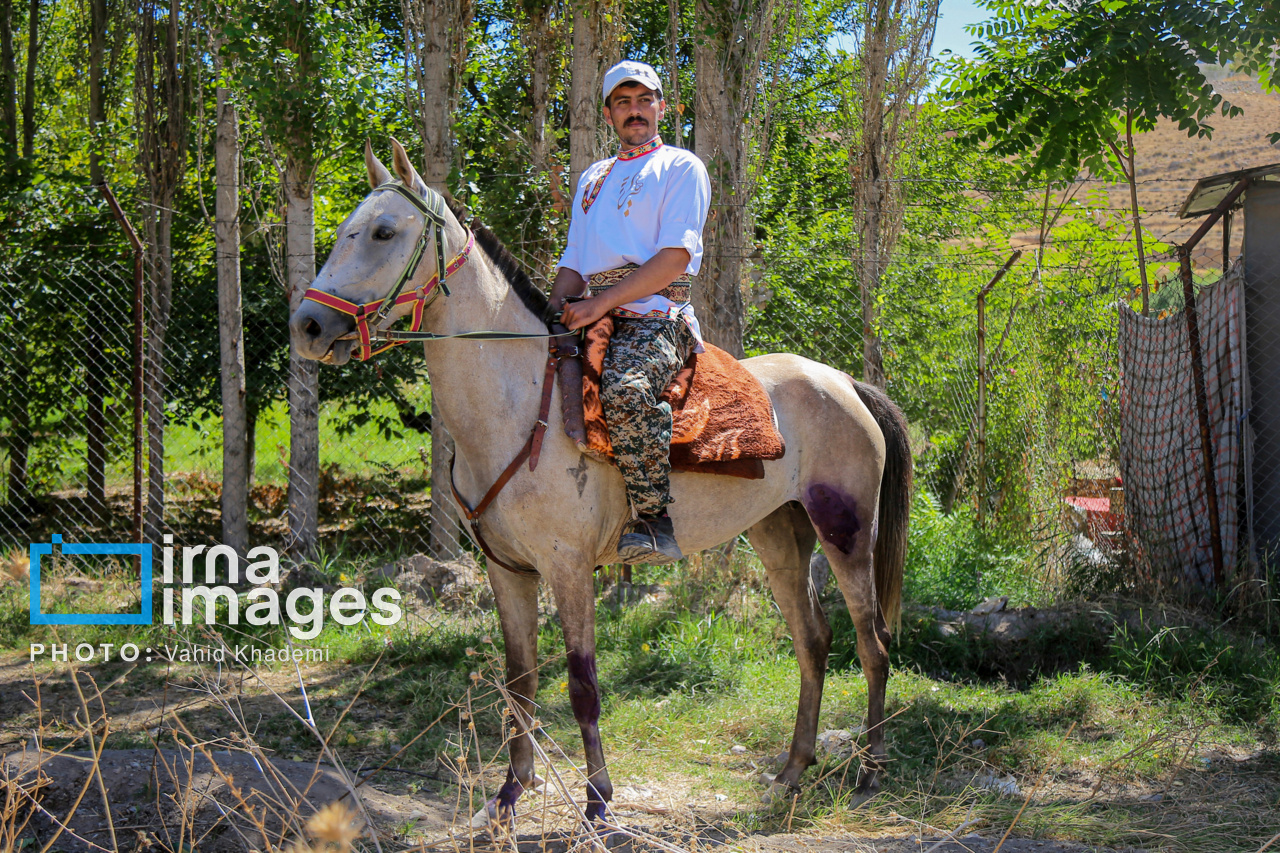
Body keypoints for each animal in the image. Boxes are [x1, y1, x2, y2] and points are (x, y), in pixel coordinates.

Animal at [290, 139, 911, 824]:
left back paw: (871, 770)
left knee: (873, 643)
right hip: (779, 534)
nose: (309, 326)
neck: (517, 407)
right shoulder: (507, 571)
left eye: (383, 231)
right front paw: (509, 795)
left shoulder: (568, 568)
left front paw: (597, 802)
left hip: (846, 531)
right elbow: (520, 680)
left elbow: (582, 683)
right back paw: (792, 772)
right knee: (813, 641)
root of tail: (845, 382)